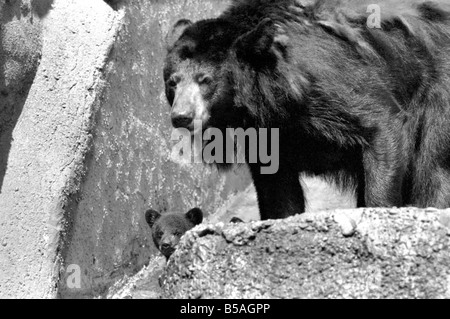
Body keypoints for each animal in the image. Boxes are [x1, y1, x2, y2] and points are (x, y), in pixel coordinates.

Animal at [163, 0, 450, 220]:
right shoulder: (265, 131)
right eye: (172, 82)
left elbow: (380, 123)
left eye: (205, 80)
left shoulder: (322, 79)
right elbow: (277, 188)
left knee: (434, 167)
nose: (181, 117)